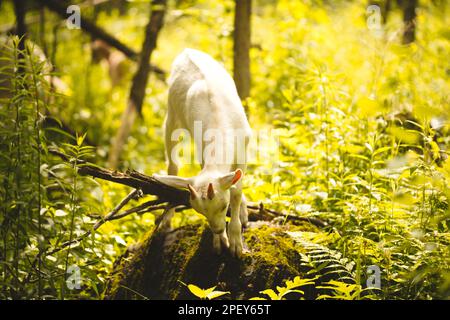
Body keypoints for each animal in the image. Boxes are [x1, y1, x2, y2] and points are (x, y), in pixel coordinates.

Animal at [153, 48, 251, 258]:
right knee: (173, 163)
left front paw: (236, 242)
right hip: (172, 112)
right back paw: (166, 220)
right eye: (201, 212)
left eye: (223, 206)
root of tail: (186, 51)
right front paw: (220, 241)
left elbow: (237, 190)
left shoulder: (244, 146)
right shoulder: (202, 151)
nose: (218, 229)